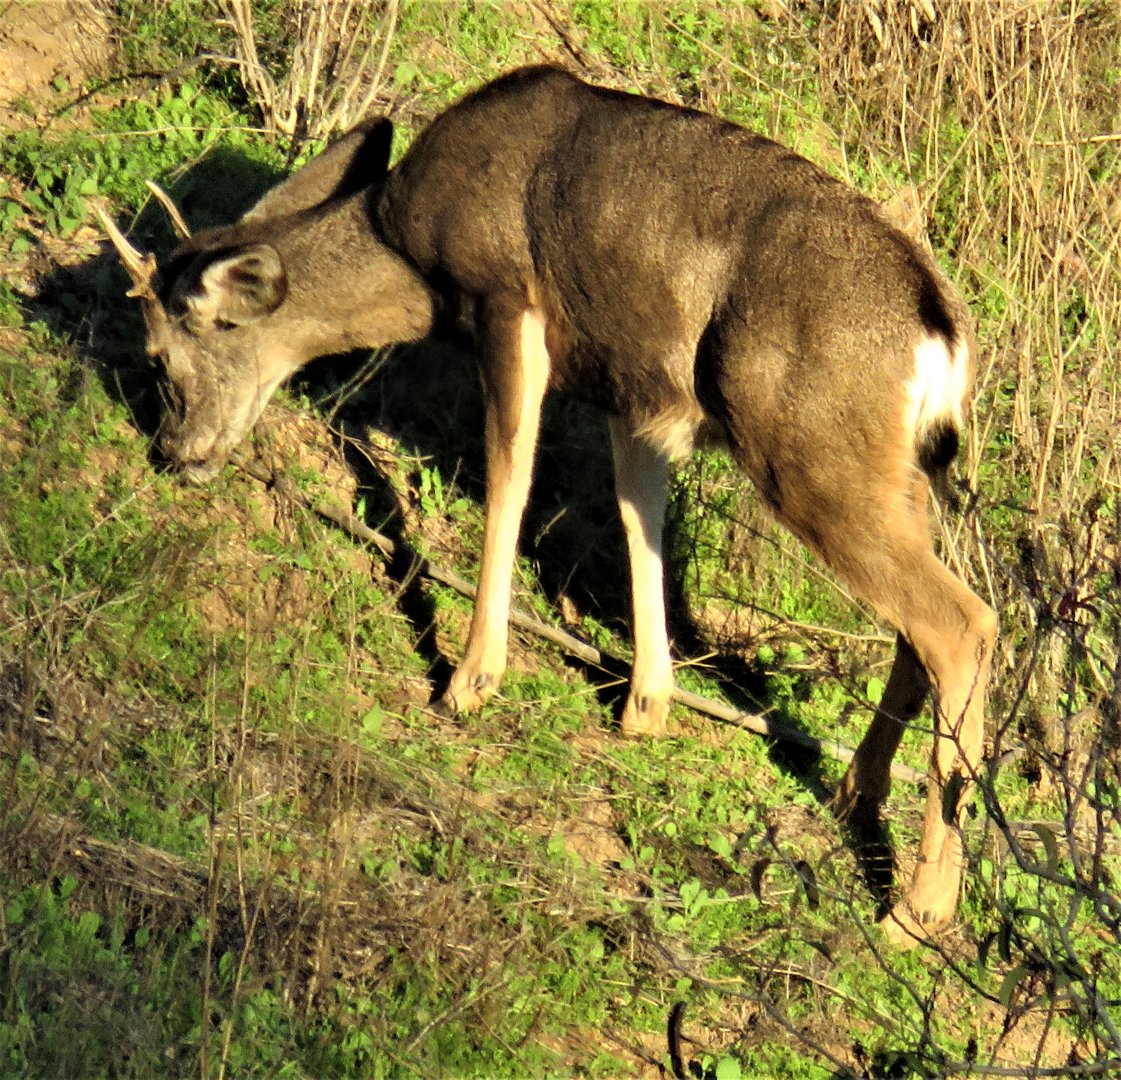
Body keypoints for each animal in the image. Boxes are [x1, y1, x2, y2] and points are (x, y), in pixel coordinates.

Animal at [99, 64, 997, 945]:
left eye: (159, 358)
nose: (174, 452)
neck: (409, 258)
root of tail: (942, 336)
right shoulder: (631, 382)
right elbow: (637, 515)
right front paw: (644, 705)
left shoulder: (507, 296)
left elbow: (510, 477)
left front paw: (469, 681)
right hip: (895, 474)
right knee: (917, 626)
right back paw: (855, 797)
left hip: (806, 451)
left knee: (962, 622)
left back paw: (916, 911)